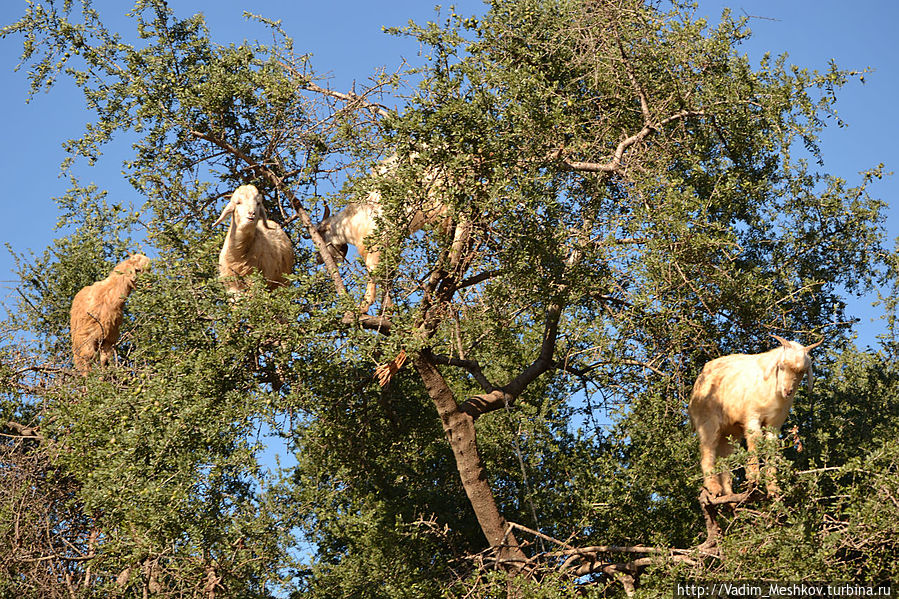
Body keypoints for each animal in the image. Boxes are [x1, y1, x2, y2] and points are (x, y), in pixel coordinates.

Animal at [688, 338, 824, 496]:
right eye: (781, 366)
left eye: (802, 371)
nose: (787, 391)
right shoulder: (752, 416)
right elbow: (755, 441)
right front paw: (754, 478)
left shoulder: (775, 423)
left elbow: (771, 446)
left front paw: (773, 488)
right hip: (708, 421)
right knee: (708, 449)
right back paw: (714, 488)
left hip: (730, 430)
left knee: (726, 456)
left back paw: (729, 494)